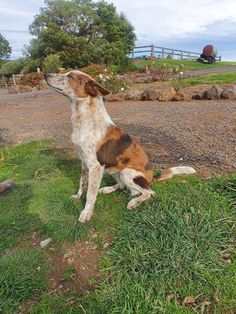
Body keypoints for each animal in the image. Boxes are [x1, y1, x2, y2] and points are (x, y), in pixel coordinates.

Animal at [45, 71, 196, 223]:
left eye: (70, 76)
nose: (45, 74)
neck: (85, 119)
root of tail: (151, 178)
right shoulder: (84, 162)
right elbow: (82, 183)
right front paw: (77, 197)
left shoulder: (95, 166)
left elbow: (91, 194)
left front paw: (86, 213)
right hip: (114, 169)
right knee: (124, 186)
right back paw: (108, 189)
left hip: (127, 172)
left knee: (149, 192)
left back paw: (134, 201)